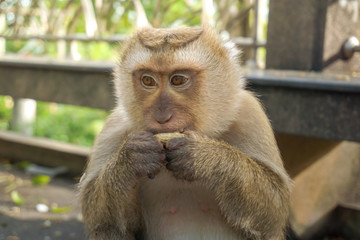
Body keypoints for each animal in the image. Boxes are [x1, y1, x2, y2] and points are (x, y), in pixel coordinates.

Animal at [79, 25, 292, 239]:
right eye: (148, 80)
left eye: (178, 80)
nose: (162, 117)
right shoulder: (114, 127)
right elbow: (96, 211)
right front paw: (132, 159)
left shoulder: (250, 115)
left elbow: (275, 208)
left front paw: (206, 156)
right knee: (107, 229)